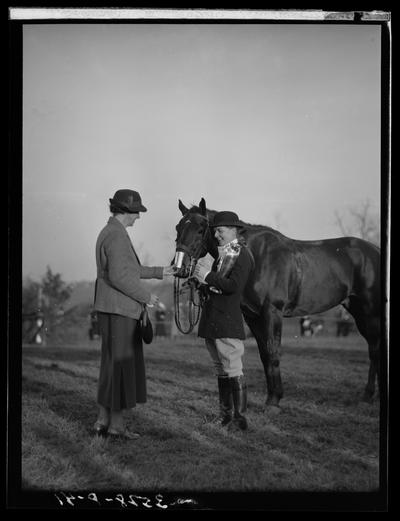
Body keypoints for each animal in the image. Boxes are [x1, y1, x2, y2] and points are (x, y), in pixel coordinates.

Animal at [173, 198, 380, 406]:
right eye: (178, 227)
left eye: (201, 229)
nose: (179, 268)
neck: (255, 255)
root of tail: (376, 251)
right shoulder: (253, 317)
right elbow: (264, 354)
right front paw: (273, 395)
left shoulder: (272, 312)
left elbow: (273, 352)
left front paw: (274, 401)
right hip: (358, 311)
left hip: (370, 312)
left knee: (375, 349)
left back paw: (368, 395)